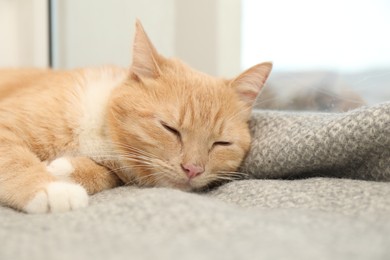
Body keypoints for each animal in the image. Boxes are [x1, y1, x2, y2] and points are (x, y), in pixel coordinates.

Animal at [0, 20, 272, 213]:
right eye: (170, 128)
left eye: (221, 143)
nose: (193, 169)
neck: (100, 133)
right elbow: (15, 159)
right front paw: (49, 189)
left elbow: (104, 176)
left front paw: (63, 170)